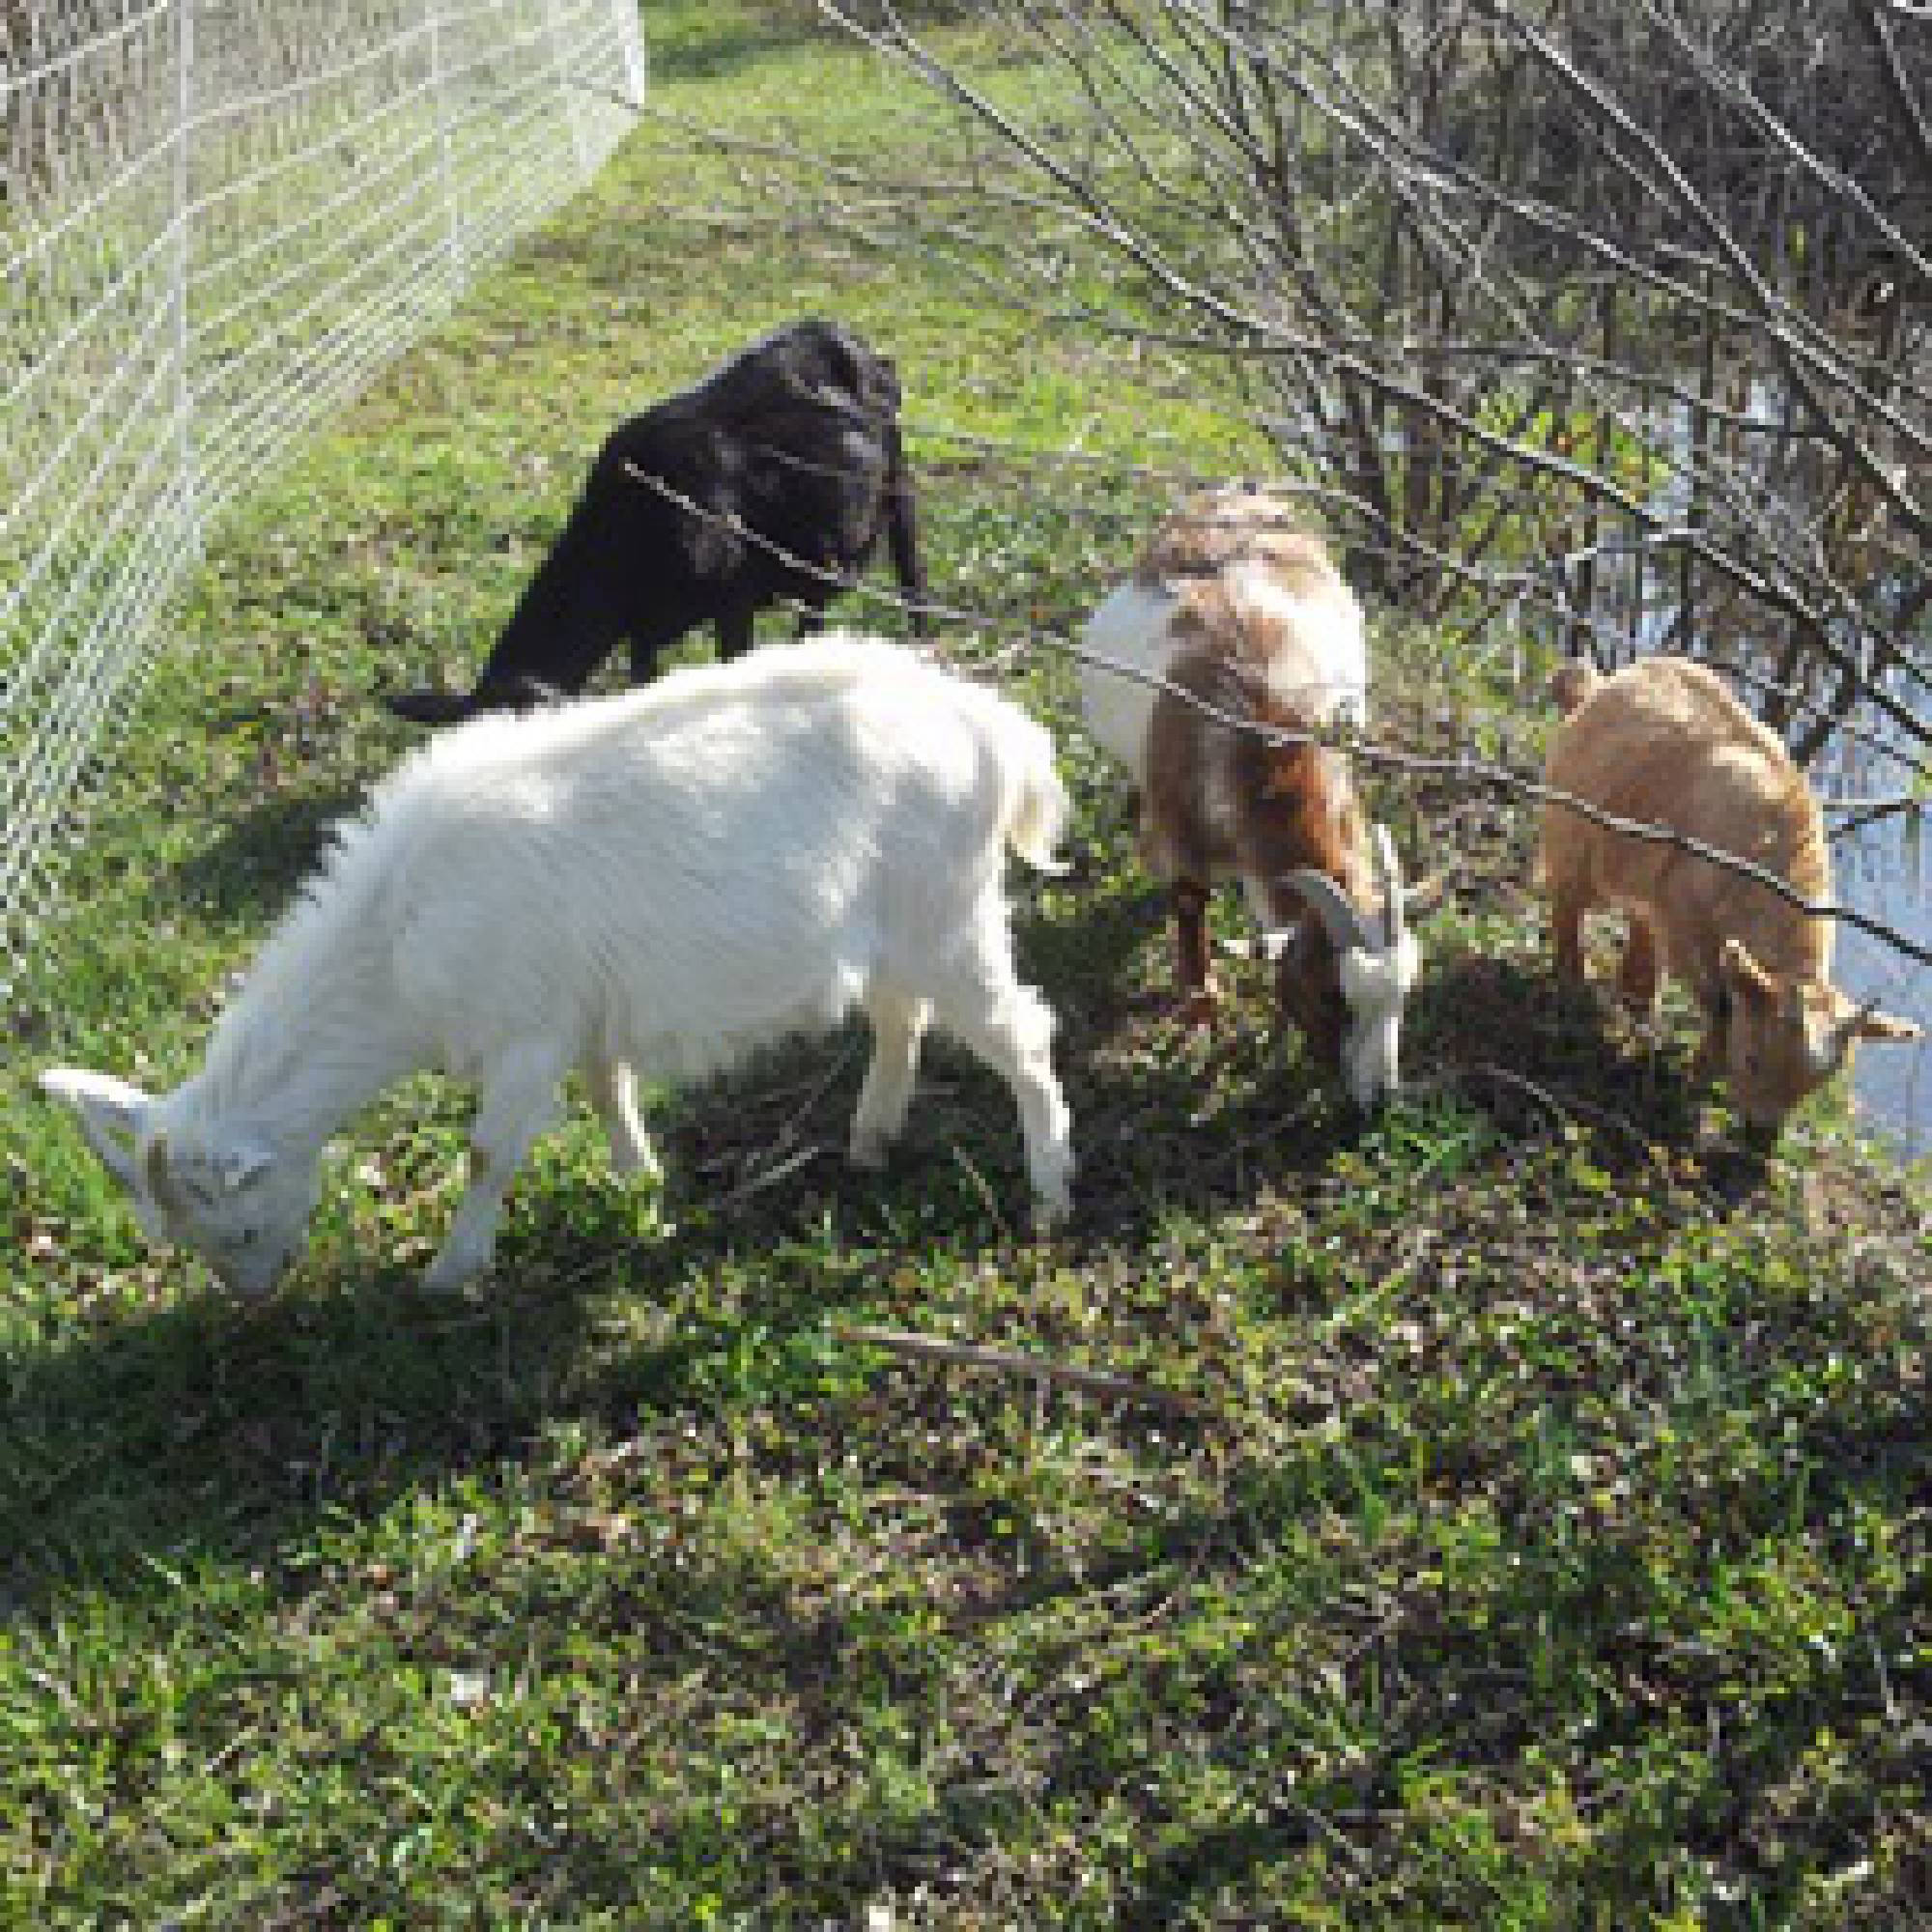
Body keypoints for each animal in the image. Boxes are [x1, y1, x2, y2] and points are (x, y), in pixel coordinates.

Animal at [44, 637, 1075, 1297]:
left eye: (243, 1226)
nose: (254, 1295)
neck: (396, 941)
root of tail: (990, 725)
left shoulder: (525, 1028)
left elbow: (487, 1152)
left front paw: (450, 1274)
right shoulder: (580, 1008)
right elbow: (608, 1084)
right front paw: (640, 1184)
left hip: (950, 914)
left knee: (1024, 1033)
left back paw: (1050, 1190)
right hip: (896, 929)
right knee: (904, 1018)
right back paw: (870, 1138)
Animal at [382, 319, 929, 725]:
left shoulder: (733, 593)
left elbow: (731, 659)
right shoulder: (644, 624)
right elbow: (642, 677)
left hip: (880, 514)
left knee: (903, 588)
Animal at [1080, 492, 1418, 1109]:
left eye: (1404, 995)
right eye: (1330, 994)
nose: (1377, 1103)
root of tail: (1237, 495)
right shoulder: (1179, 822)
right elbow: (1189, 900)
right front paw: (1200, 1021)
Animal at [1539, 654, 1920, 1133]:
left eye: (1809, 1090)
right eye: (1753, 1060)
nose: (1759, 1132)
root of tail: (1601, 685)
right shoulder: (1687, 919)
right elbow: (1720, 1003)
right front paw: (1695, 1084)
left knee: (1639, 940)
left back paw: (1637, 1013)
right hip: (1571, 832)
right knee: (1567, 904)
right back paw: (1571, 990)